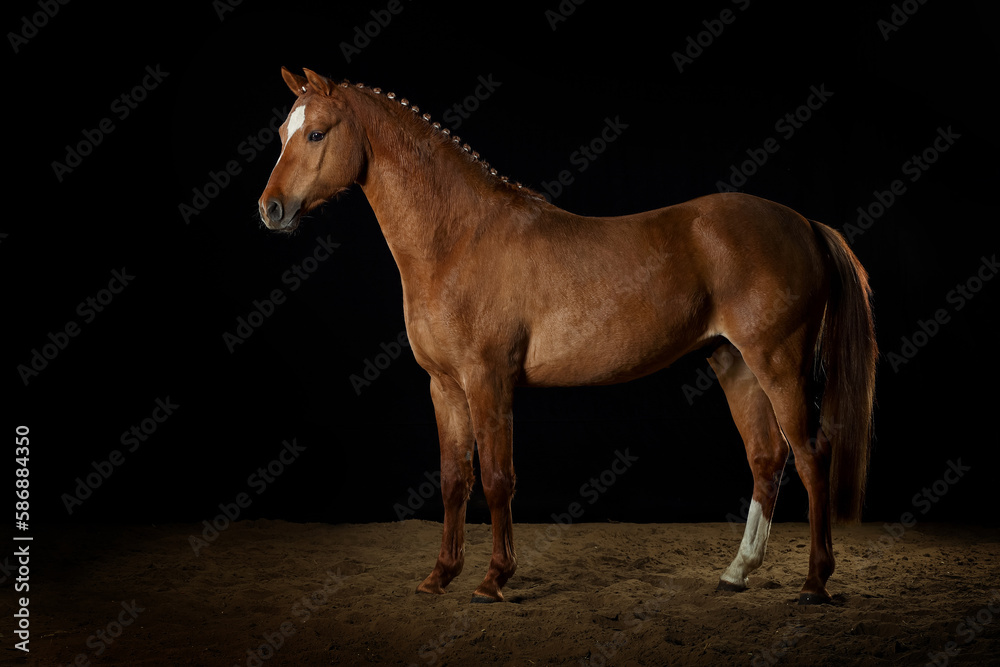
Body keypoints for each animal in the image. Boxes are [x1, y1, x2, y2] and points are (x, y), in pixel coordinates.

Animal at [257, 67, 877, 605]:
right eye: (284, 132)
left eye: (316, 132)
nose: (270, 209)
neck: (458, 239)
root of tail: (805, 224)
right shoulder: (444, 386)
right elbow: (455, 480)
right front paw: (440, 576)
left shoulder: (488, 381)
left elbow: (498, 479)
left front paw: (493, 580)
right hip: (735, 364)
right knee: (767, 458)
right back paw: (737, 572)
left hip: (779, 363)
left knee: (811, 456)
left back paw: (815, 582)